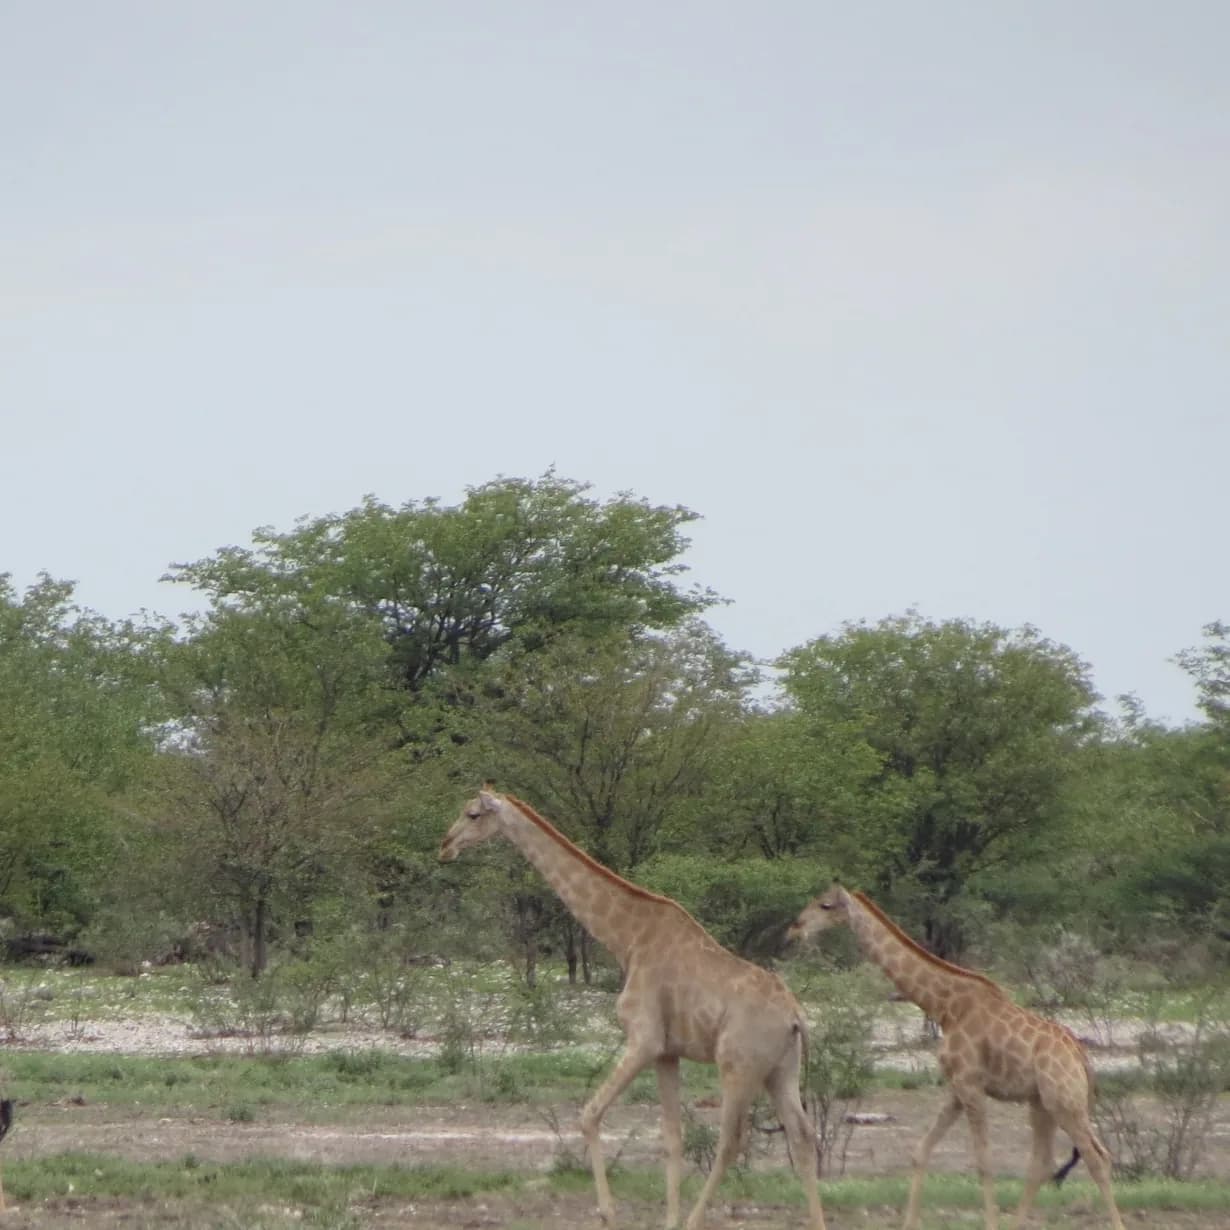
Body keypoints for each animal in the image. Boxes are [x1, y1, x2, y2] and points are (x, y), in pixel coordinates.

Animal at [440, 789, 826, 1230]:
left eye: (472, 813)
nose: (445, 846)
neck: (627, 939)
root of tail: (796, 1018)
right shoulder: (667, 1052)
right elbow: (672, 1138)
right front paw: (668, 1220)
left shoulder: (644, 1039)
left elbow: (590, 1114)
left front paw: (609, 1213)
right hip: (781, 1070)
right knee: (802, 1135)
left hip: (738, 1066)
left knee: (731, 1141)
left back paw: (695, 1220)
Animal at [787, 884, 1124, 1230]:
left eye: (825, 905)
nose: (794, 929)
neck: (944, 1006)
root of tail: (1082, 1058)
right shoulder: (956, 1088)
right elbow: (921, 1151)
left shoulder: (970, 1084)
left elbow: (984, 1162)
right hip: (1042, 1103)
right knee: (1044, 1163)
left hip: (1064, 1103)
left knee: (1097, 1158)